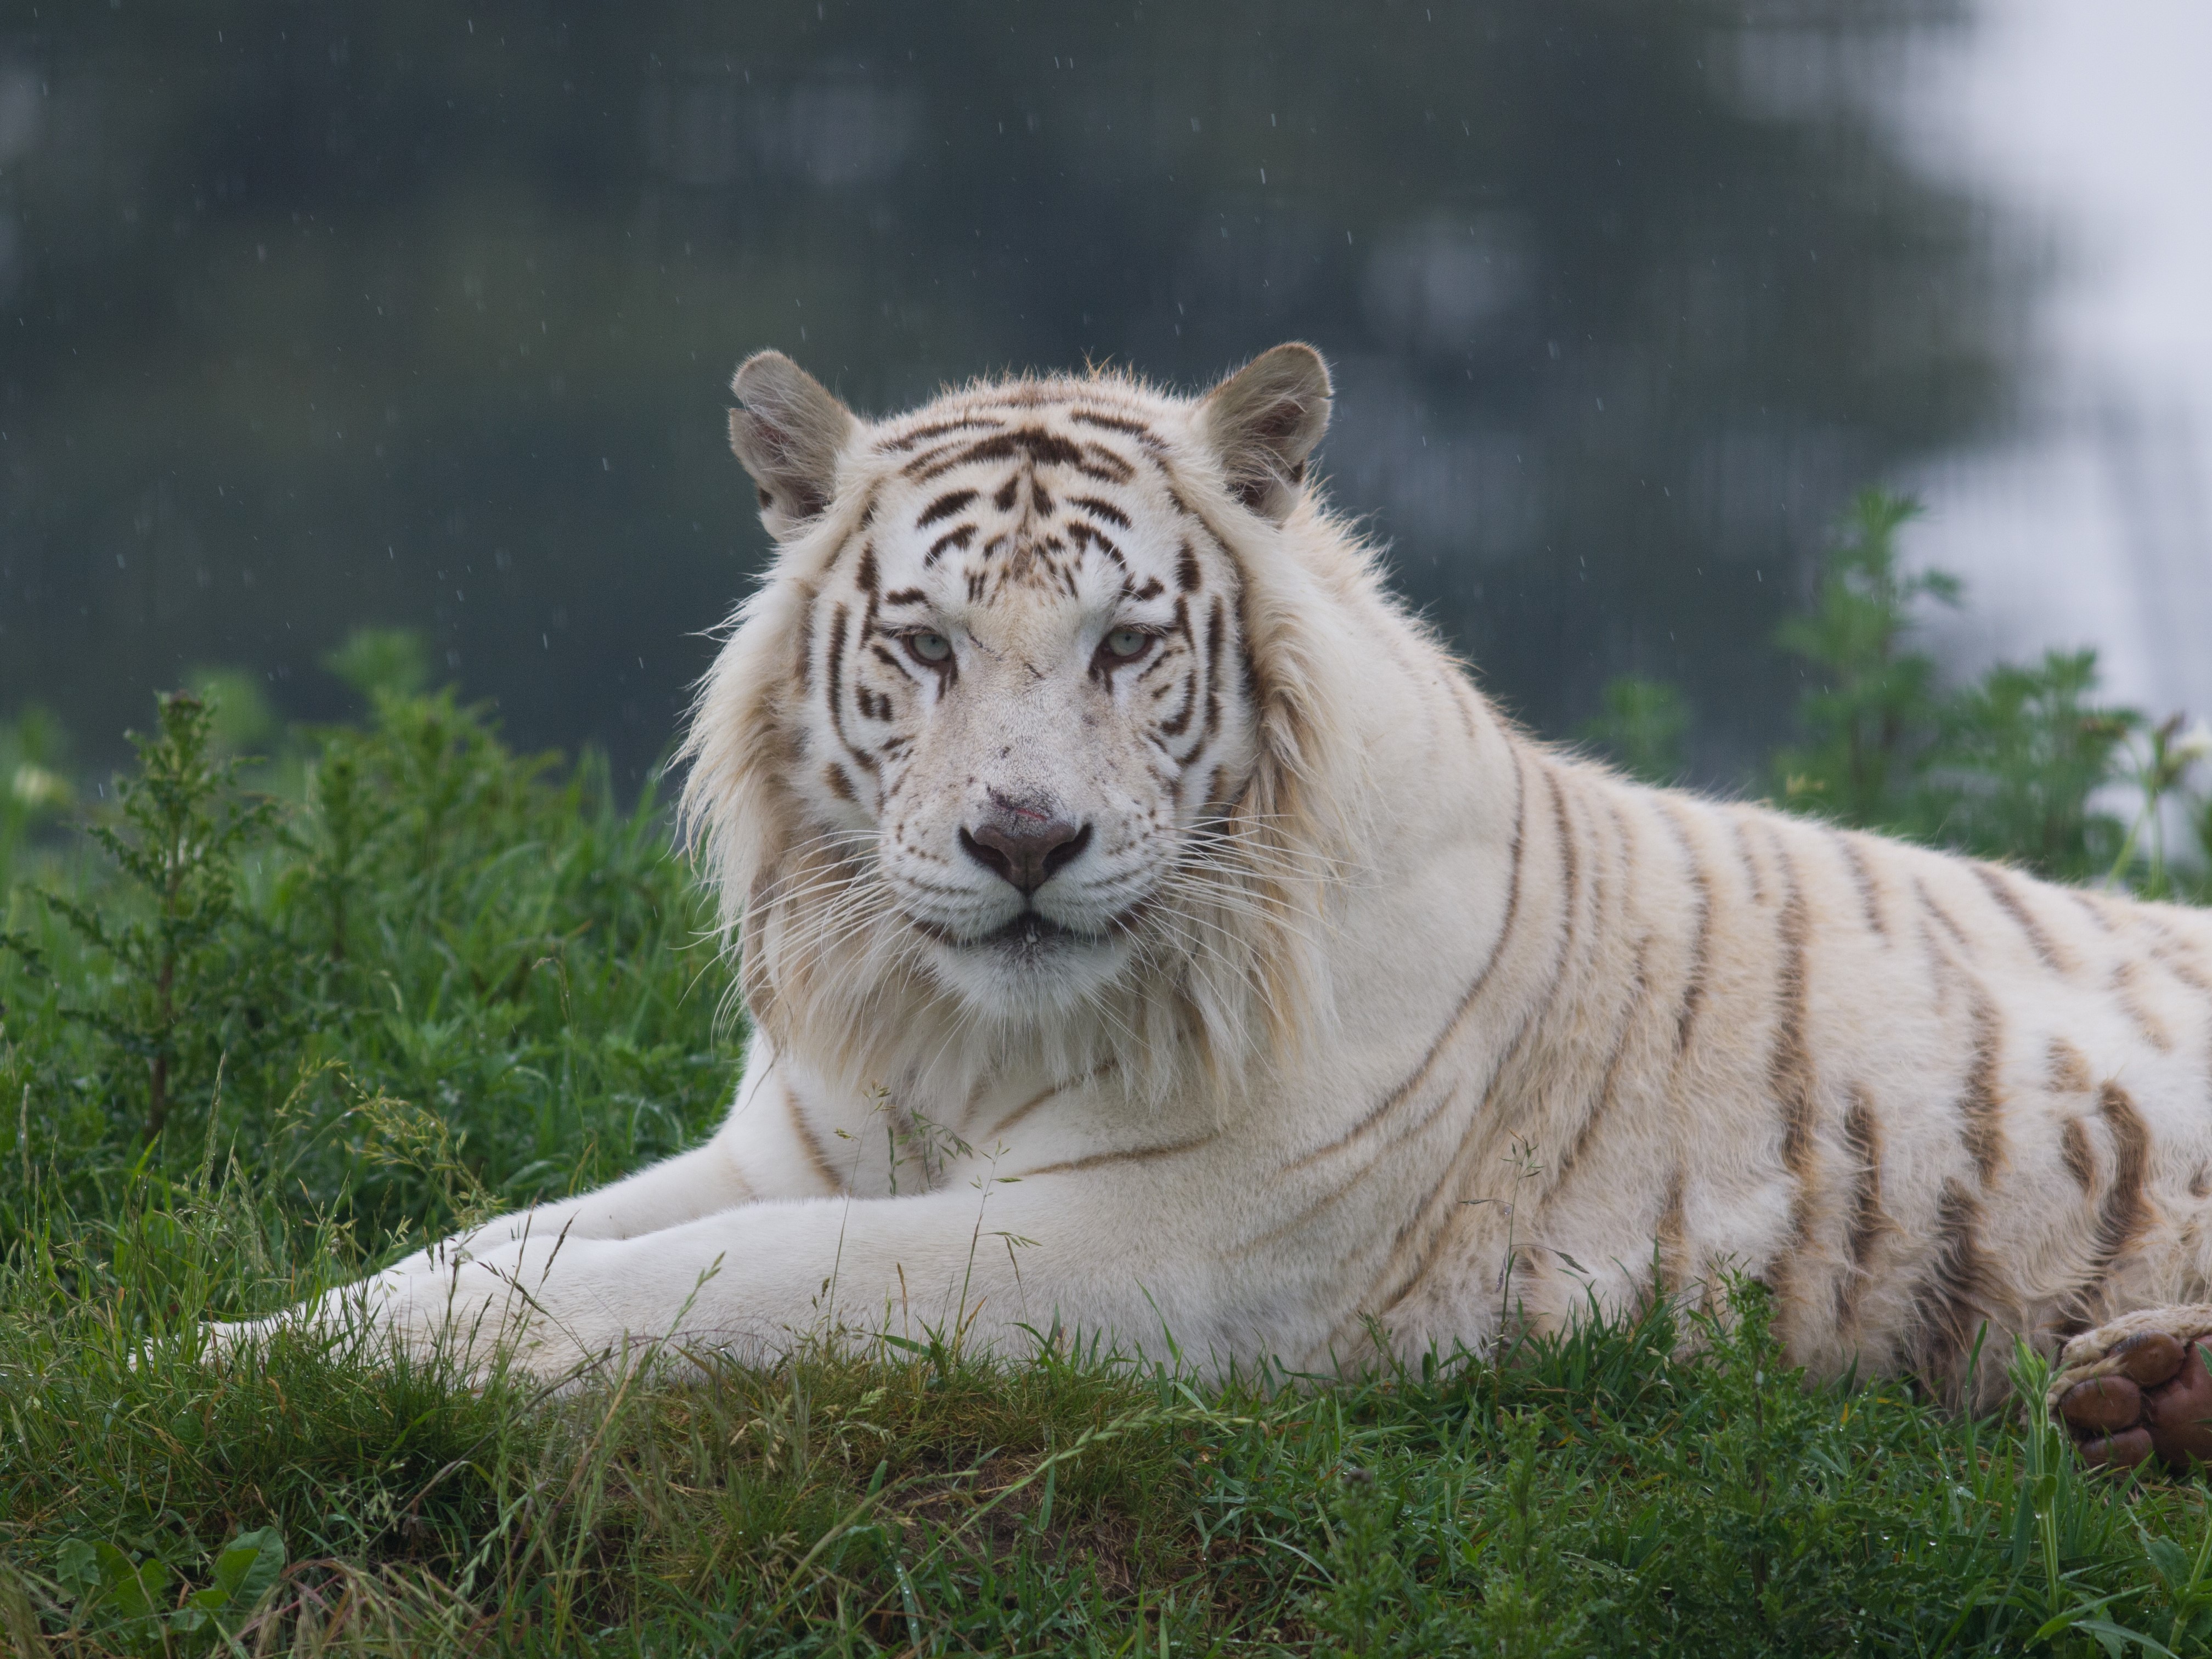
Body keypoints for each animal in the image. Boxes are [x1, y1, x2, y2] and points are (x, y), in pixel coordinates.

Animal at [224, 342, 2212, 1471]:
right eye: (927, 645)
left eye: (1126, 643)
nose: (1024, 839)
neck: (962, 1046)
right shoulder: (788, 1147)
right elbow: (483, 1245)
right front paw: (231, 1349)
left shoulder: (1148, 1244)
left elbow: (687, 1294)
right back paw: (2135, 1404)